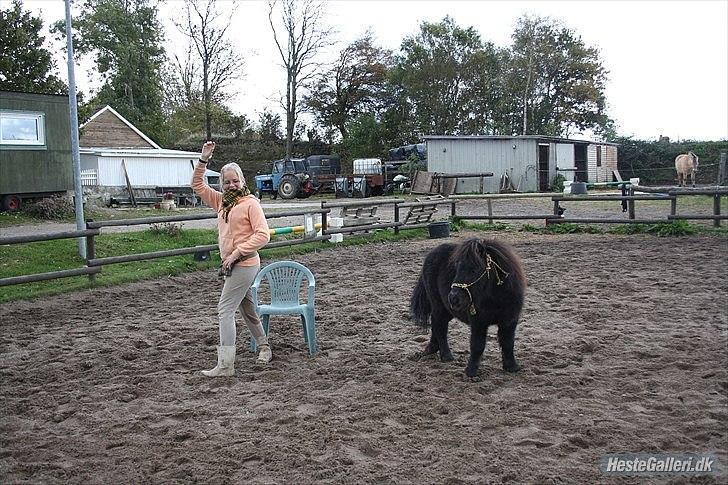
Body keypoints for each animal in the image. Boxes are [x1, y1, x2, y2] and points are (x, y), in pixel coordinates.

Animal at [410, 238, 524, 378]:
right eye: (457, 267)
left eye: (474, 269)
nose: (453, 298)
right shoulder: (478, 322)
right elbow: (477, 345)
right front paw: (471, 372)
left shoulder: (509, 321)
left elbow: (508, 343)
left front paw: (512, 367)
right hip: (439, 306)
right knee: (439, 326)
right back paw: (446, 356)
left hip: (448, 310)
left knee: (436, 326)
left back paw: (432, 349)